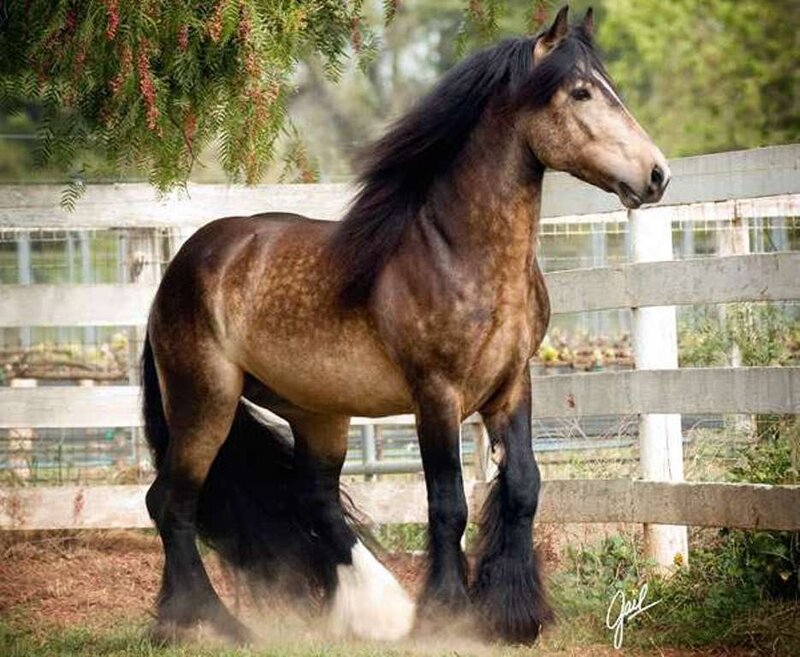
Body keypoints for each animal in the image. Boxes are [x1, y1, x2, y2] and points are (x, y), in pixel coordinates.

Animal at [141, 5, 669, 645]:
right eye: (581, 92)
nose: (656, 175)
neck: (457, 253)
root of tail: (184, 265)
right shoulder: (436, 395)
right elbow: (448, 503)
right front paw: (445, 614)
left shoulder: (510, 387)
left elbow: (523, 488)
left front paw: (515, 615)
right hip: (206, 403)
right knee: (173, 503)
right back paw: (208, 624)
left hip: (318, 412)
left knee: (312, 499)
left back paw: (376, 612)